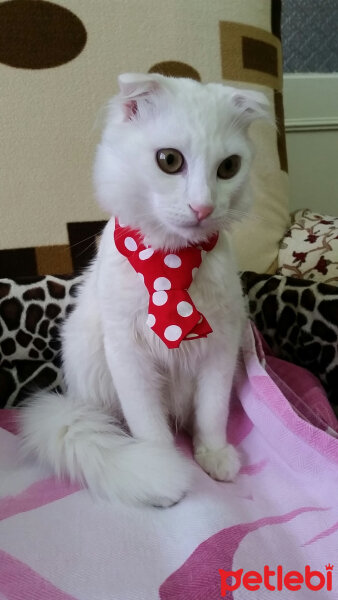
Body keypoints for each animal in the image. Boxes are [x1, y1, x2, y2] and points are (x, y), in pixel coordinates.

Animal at [20, 74, 270, 506]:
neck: (172, 266)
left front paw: (213, 455)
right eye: (169, 160)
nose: (203, 207)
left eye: (229, 167)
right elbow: (151, 428)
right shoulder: (128, 353)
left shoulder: (221, 349)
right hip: (90, 365)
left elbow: (211, 414)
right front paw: (165, 469)